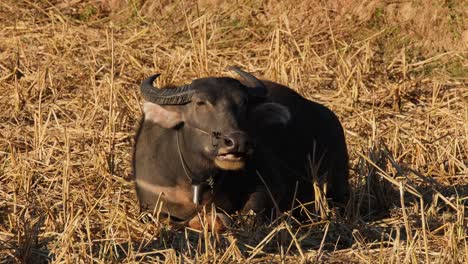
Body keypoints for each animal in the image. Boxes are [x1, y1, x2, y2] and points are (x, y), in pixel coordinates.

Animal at [132, 66, 348, 231]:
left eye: (243, 102)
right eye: (200, 102)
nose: (238, 142)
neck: (196, 180)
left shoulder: (270, 184)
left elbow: (248, 213)